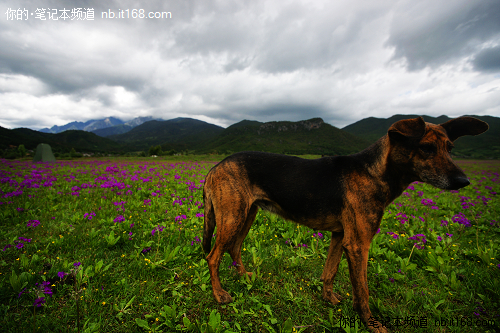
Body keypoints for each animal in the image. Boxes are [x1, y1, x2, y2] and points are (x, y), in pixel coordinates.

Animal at [200, 115, 488, 330]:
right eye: (426, 148)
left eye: (450, 149)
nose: (464, 182)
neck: (375, 171)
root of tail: (214, 167)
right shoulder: (359, 243)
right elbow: (362, 290)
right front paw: (371, 324)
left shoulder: (341, 236)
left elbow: (330, 271)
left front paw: (328, 298)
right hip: (233, 216)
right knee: (213, 256)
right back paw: (219, 294)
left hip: (245, 214)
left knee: (234, 247)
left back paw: (244, 276)